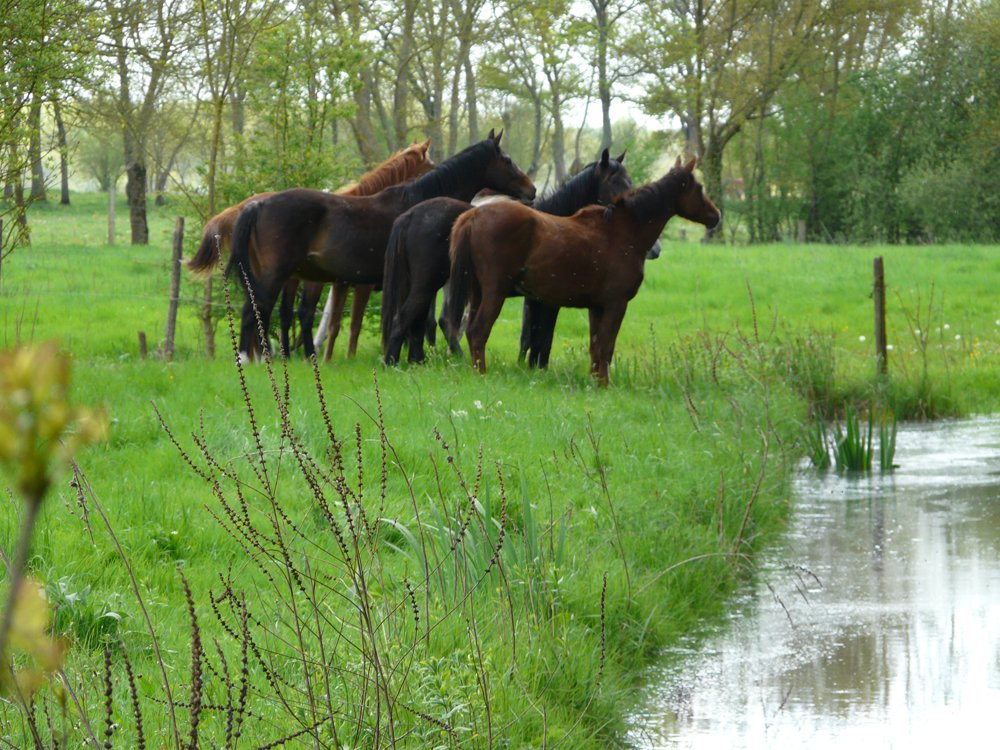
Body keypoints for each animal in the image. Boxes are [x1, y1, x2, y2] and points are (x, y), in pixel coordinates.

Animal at [187, 139, 434, 360]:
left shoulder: (337, 283)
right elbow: (343, 321)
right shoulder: (346, 285)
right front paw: (337, 357)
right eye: (431, 165)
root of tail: (251, 206)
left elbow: (328, 321)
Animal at [227, 129, 535, 360]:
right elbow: (415, 321)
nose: (531, 189)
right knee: (256, 311)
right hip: (277, 275)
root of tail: (258, 204)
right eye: (507, 160)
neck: (420, 201)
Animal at [380, 148, 636, 365]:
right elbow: (543, 339)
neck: (557, 223)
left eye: (629, 180)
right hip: (428, 284)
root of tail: (411, 215)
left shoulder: (535, 301)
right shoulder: (549, 302)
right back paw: (393, 362)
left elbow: (532, 338)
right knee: (406, 319)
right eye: (614, 181)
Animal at [446, 156, 721, 386]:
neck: (624, 232)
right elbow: (606, 348)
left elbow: (595, 347)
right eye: (699, 188)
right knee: (479, 332)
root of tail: (474, 214)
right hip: (495, 292)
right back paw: (482, 375)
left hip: (477, 292)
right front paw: (604, 386)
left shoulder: (596, 307)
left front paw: (594, 382)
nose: (716, 215)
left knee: (470, 332)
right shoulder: (616, 304)